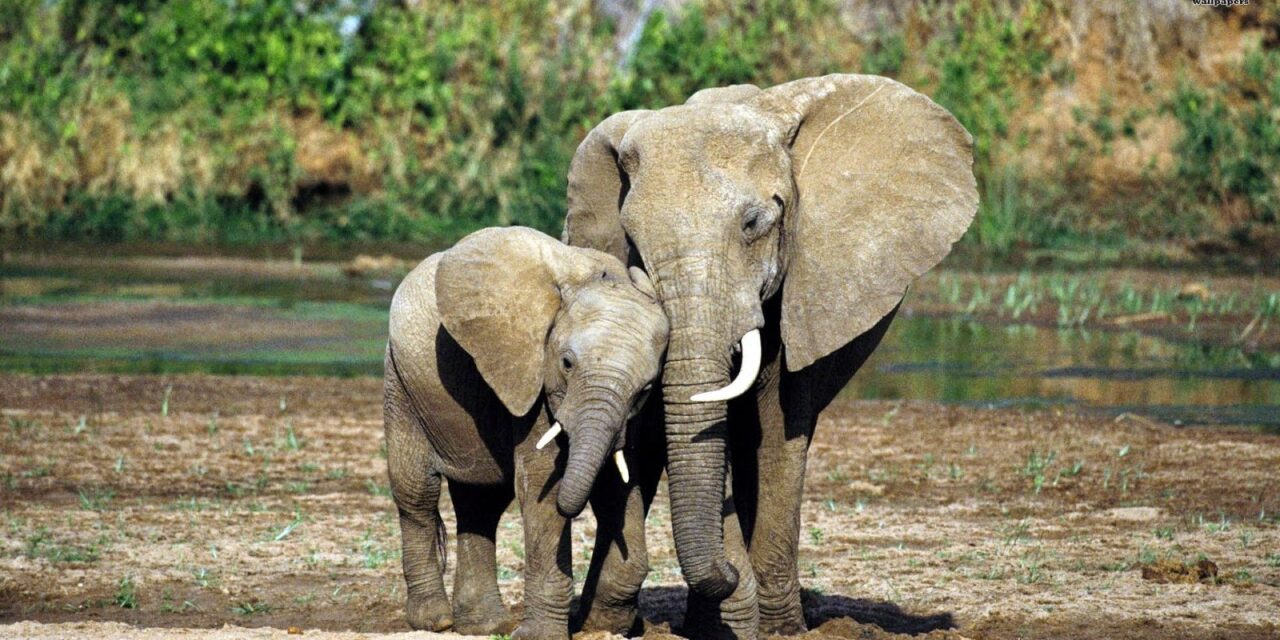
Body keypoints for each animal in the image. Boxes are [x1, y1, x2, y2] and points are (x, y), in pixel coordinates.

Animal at [383, 226, 669, 640]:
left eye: (646, 388)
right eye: (566, 363)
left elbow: (619, 484)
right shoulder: (531, 377)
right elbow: (541, 486)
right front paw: (541, 636)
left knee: (481, 504)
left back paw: (484, 625)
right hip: (401, 385)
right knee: (417, 494)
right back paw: (435, 620)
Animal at [561, 74, 978, 638]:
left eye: (753, 224)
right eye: (632, 241)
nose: (729, 572)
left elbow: (780, 429)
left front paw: (777, 629)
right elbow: (654, 430)